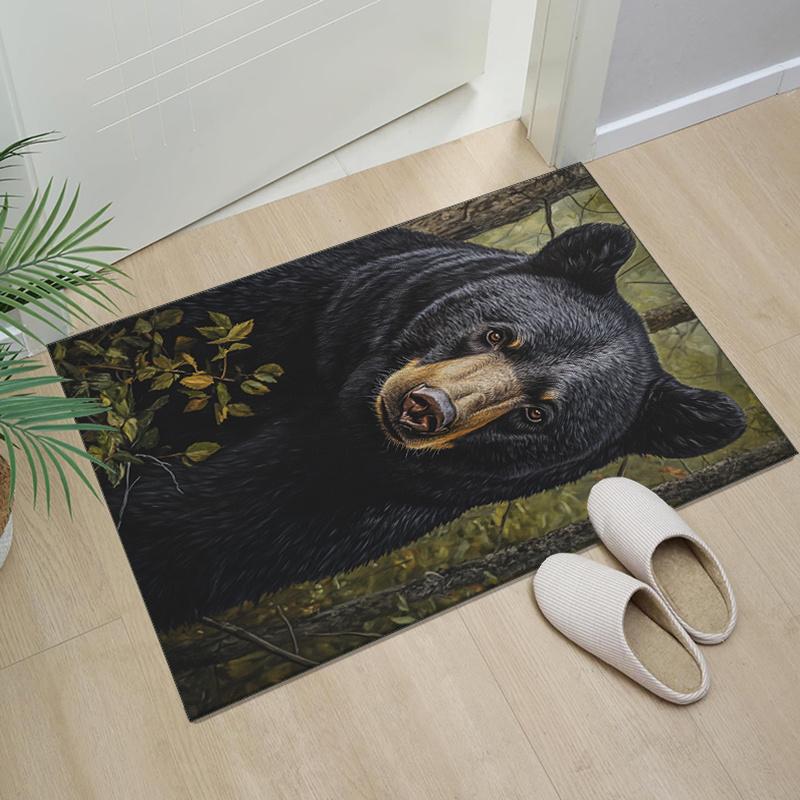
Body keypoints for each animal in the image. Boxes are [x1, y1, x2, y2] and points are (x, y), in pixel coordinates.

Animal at [94, 223, 745, 628]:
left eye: (536, 413)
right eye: (499, 333)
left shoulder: (369, 490)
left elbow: (226, 527)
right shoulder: (302, 308)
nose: (425, 407)